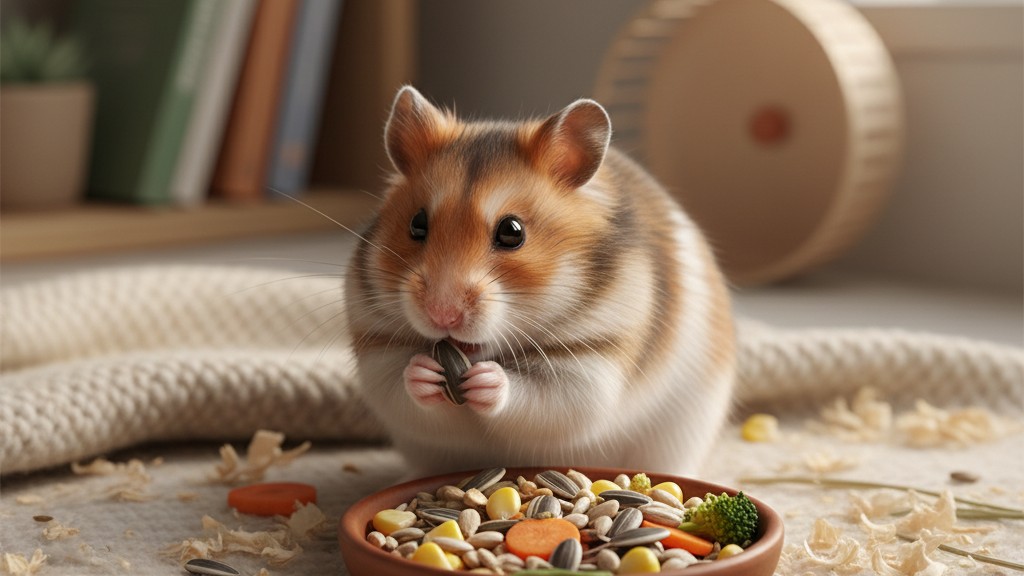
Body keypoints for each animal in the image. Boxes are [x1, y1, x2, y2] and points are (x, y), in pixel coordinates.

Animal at [345, 86, 735, 476]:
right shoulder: (377, 351)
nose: (442, 314)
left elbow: (536, 398)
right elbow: (401, 389)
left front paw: (488, 380)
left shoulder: (593, 363)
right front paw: (424, 371)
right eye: (417, 224)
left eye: (512, 232)